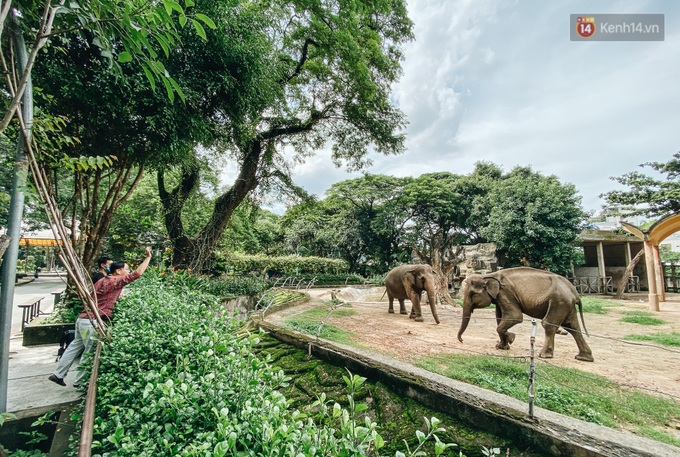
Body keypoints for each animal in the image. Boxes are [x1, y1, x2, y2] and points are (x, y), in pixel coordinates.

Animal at [456, 268, 596, 360]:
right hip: (566, 305)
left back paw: (543, 355)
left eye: (472, 294)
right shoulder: (501, 297)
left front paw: (511, 338)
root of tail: (574, 291)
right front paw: (502, 346)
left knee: (549, 324)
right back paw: (583, 357)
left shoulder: (506, 292)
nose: (462, 340)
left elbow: (515, 316)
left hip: (559, 302)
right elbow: (499, 317)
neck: (489, 275)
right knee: (572, 327)